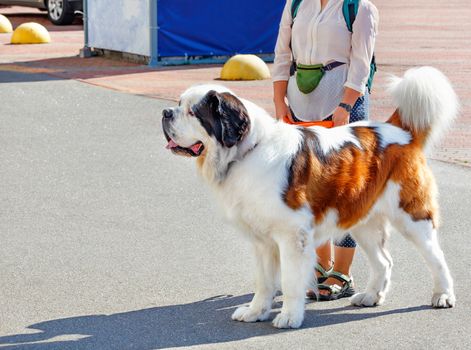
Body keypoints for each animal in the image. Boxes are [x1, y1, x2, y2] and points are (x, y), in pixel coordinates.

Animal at [161, 66, 458, 328]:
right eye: (178, 104)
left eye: (193, 112)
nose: (165, 112)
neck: (247, 152)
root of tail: (399, 130)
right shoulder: (261, 240)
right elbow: (263, 281)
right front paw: (256, 312)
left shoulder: (292, 237)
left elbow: (291, 281)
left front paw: (289, 317)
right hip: (363, 222)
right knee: (384, 261)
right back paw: (372, 296)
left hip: (412, 216)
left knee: (437, 256)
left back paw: (443, 295)